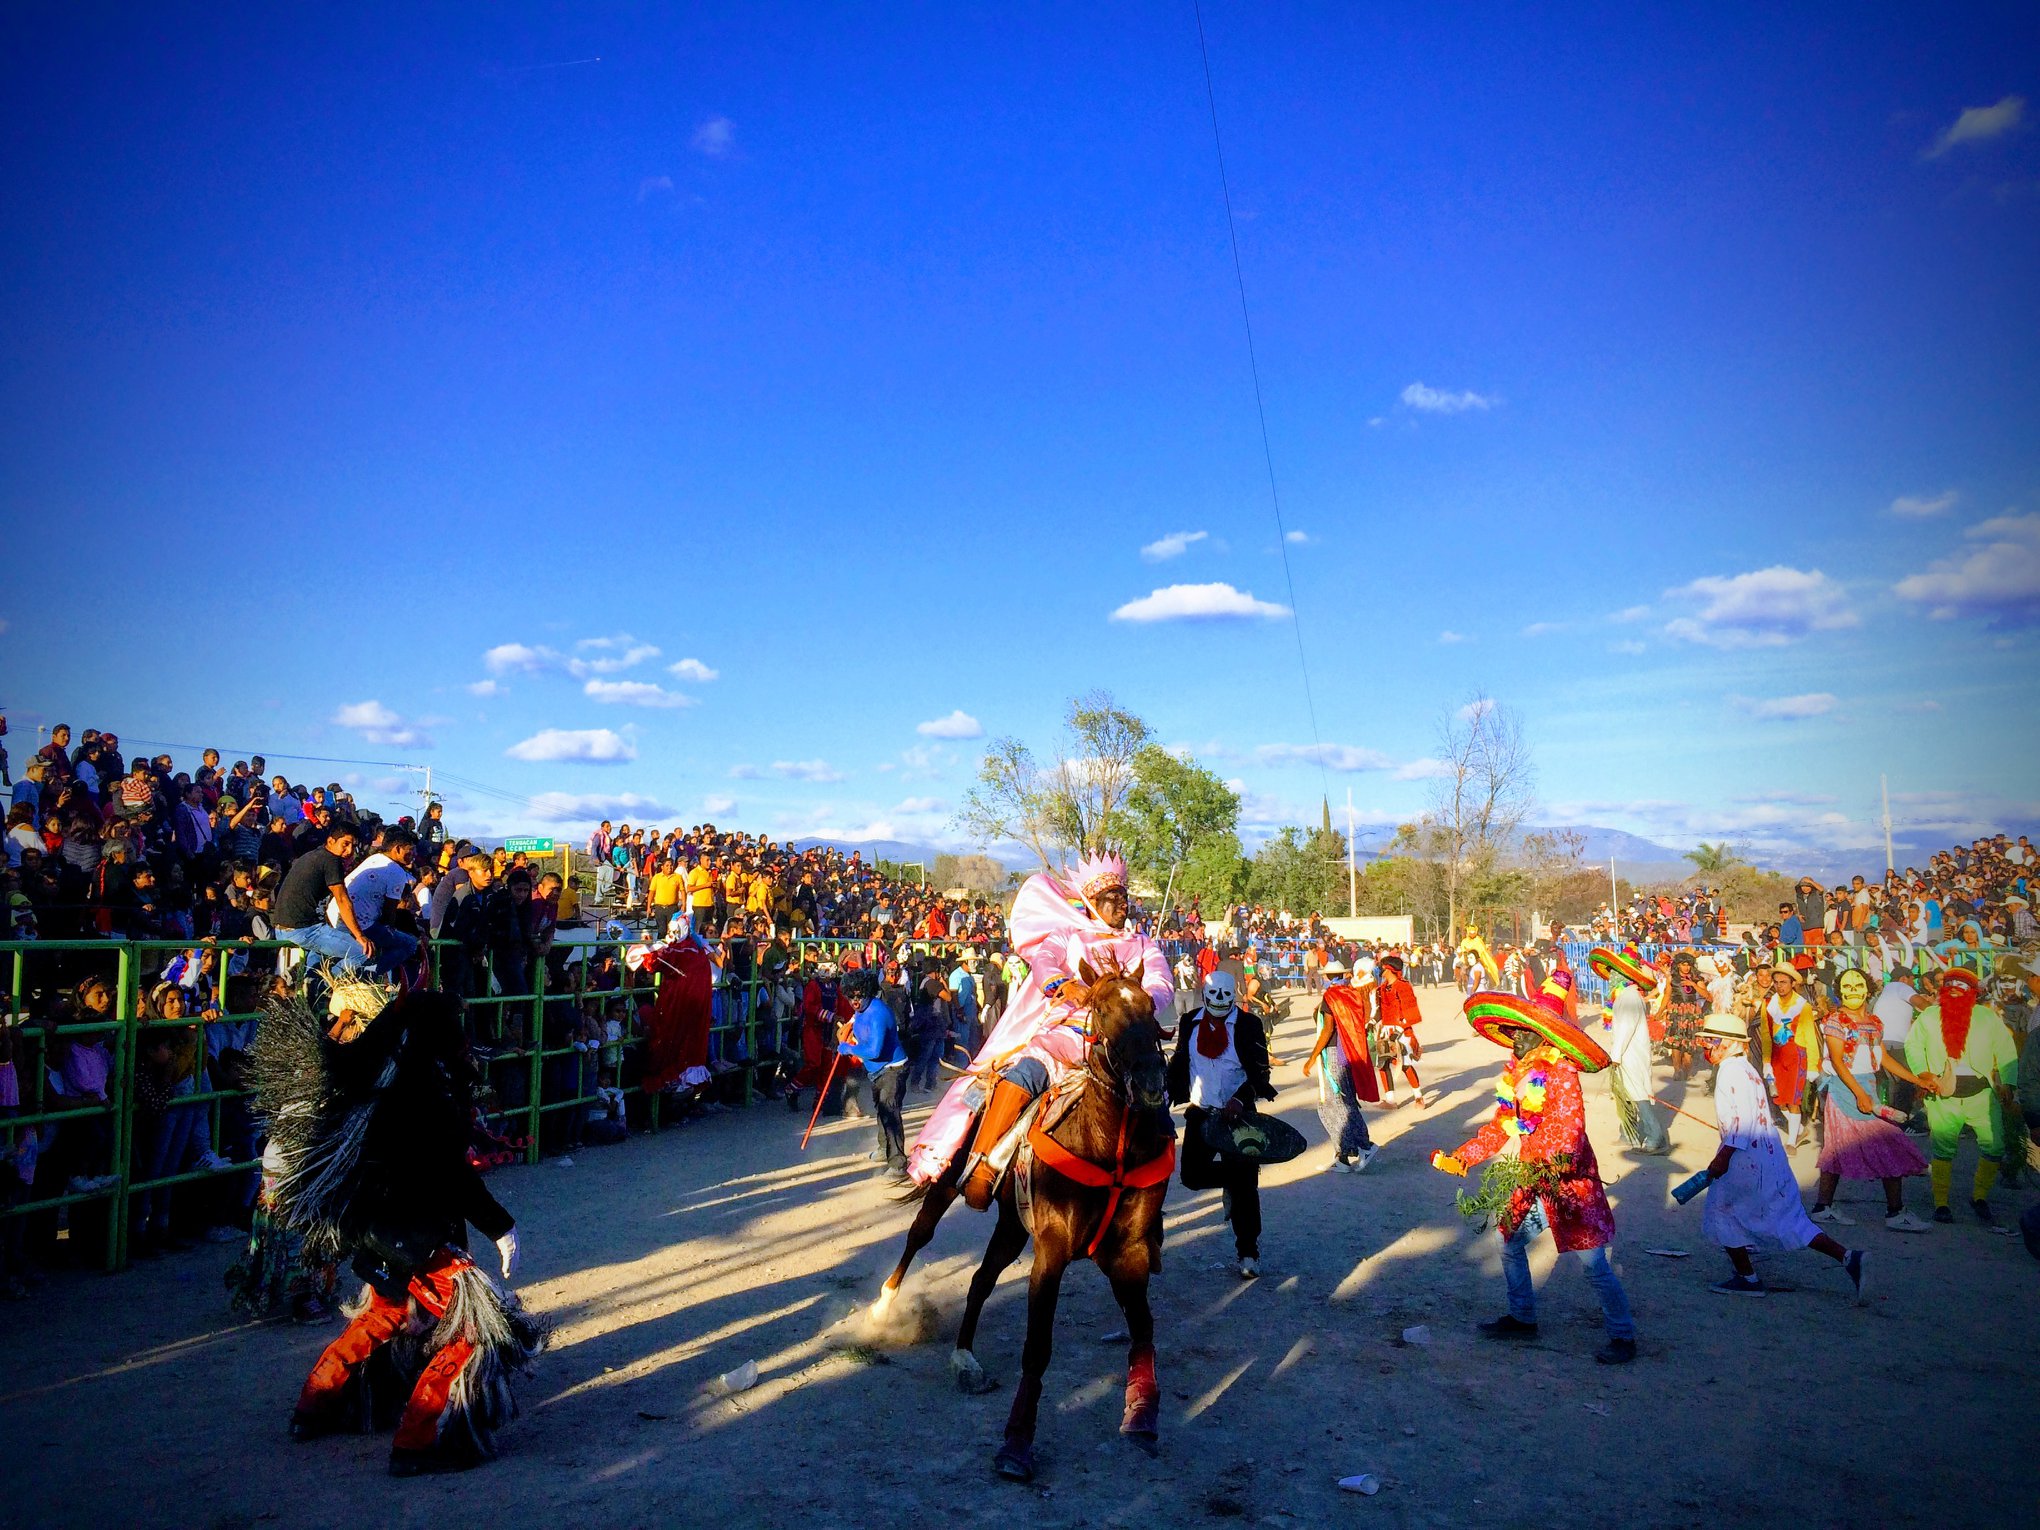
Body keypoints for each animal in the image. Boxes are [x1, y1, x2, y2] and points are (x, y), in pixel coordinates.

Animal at [869, 962, 1175, 1476]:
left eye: (1152, 1008)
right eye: (1102, 1009)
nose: (1152, 1084)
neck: (1107, 1144)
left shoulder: (1129, 1252)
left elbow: (1143, 1330)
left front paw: (1142, 1412)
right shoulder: (1051, 1250)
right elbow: (1037, 1348)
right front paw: (1016, 1441)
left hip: (1012, 1226)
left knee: (980, 1280)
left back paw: (964, 1357)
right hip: (949, 1182)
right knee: (919, 1235)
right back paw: (883, 1309)